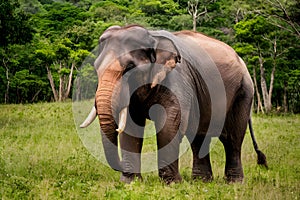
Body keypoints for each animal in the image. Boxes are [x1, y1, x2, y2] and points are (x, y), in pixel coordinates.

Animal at [79, 25, 268, 184]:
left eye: (130, 67)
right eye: (96, 67)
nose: (120, 167)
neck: (153, 38)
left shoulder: (177, 78)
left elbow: (169, 124)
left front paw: (171, 184)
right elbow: (132, 127)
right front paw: (130, 183)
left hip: (244, 91)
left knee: (232, 138)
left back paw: (234, 183)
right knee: (199, 136)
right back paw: (202, 182)